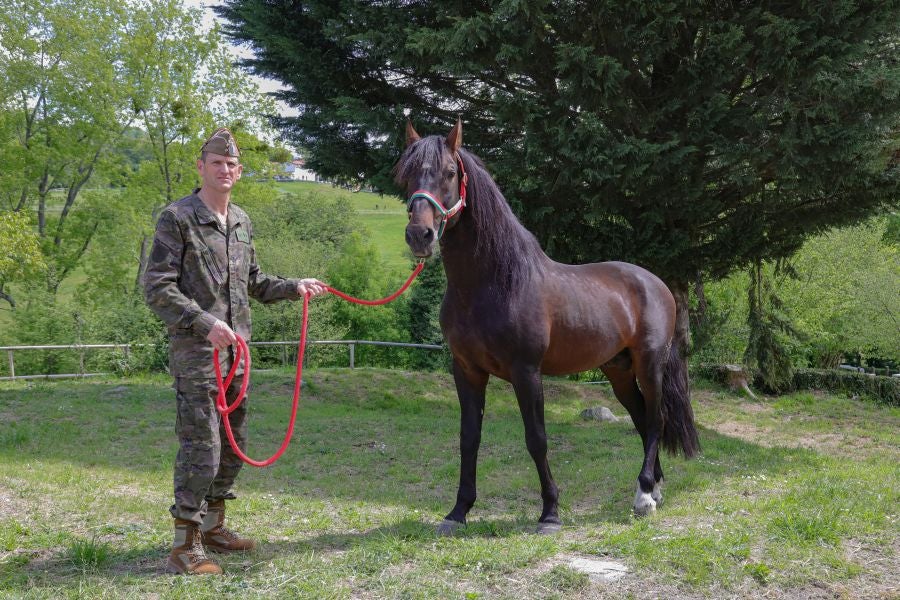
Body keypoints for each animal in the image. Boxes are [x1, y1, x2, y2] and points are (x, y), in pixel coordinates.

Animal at [398, 119, 700, 532]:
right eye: (406, 174)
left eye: (448, 173)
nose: (420, 235)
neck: (494, 283)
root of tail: (657, 284)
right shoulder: (467, 371)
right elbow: (468, 438)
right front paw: (458, 512)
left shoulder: (526, 372)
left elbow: (536, 438)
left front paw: (550, 512)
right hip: (619, 370)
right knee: (641, 418)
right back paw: (653, 488)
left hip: (649, 364)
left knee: (656, 419)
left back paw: (643, 496)